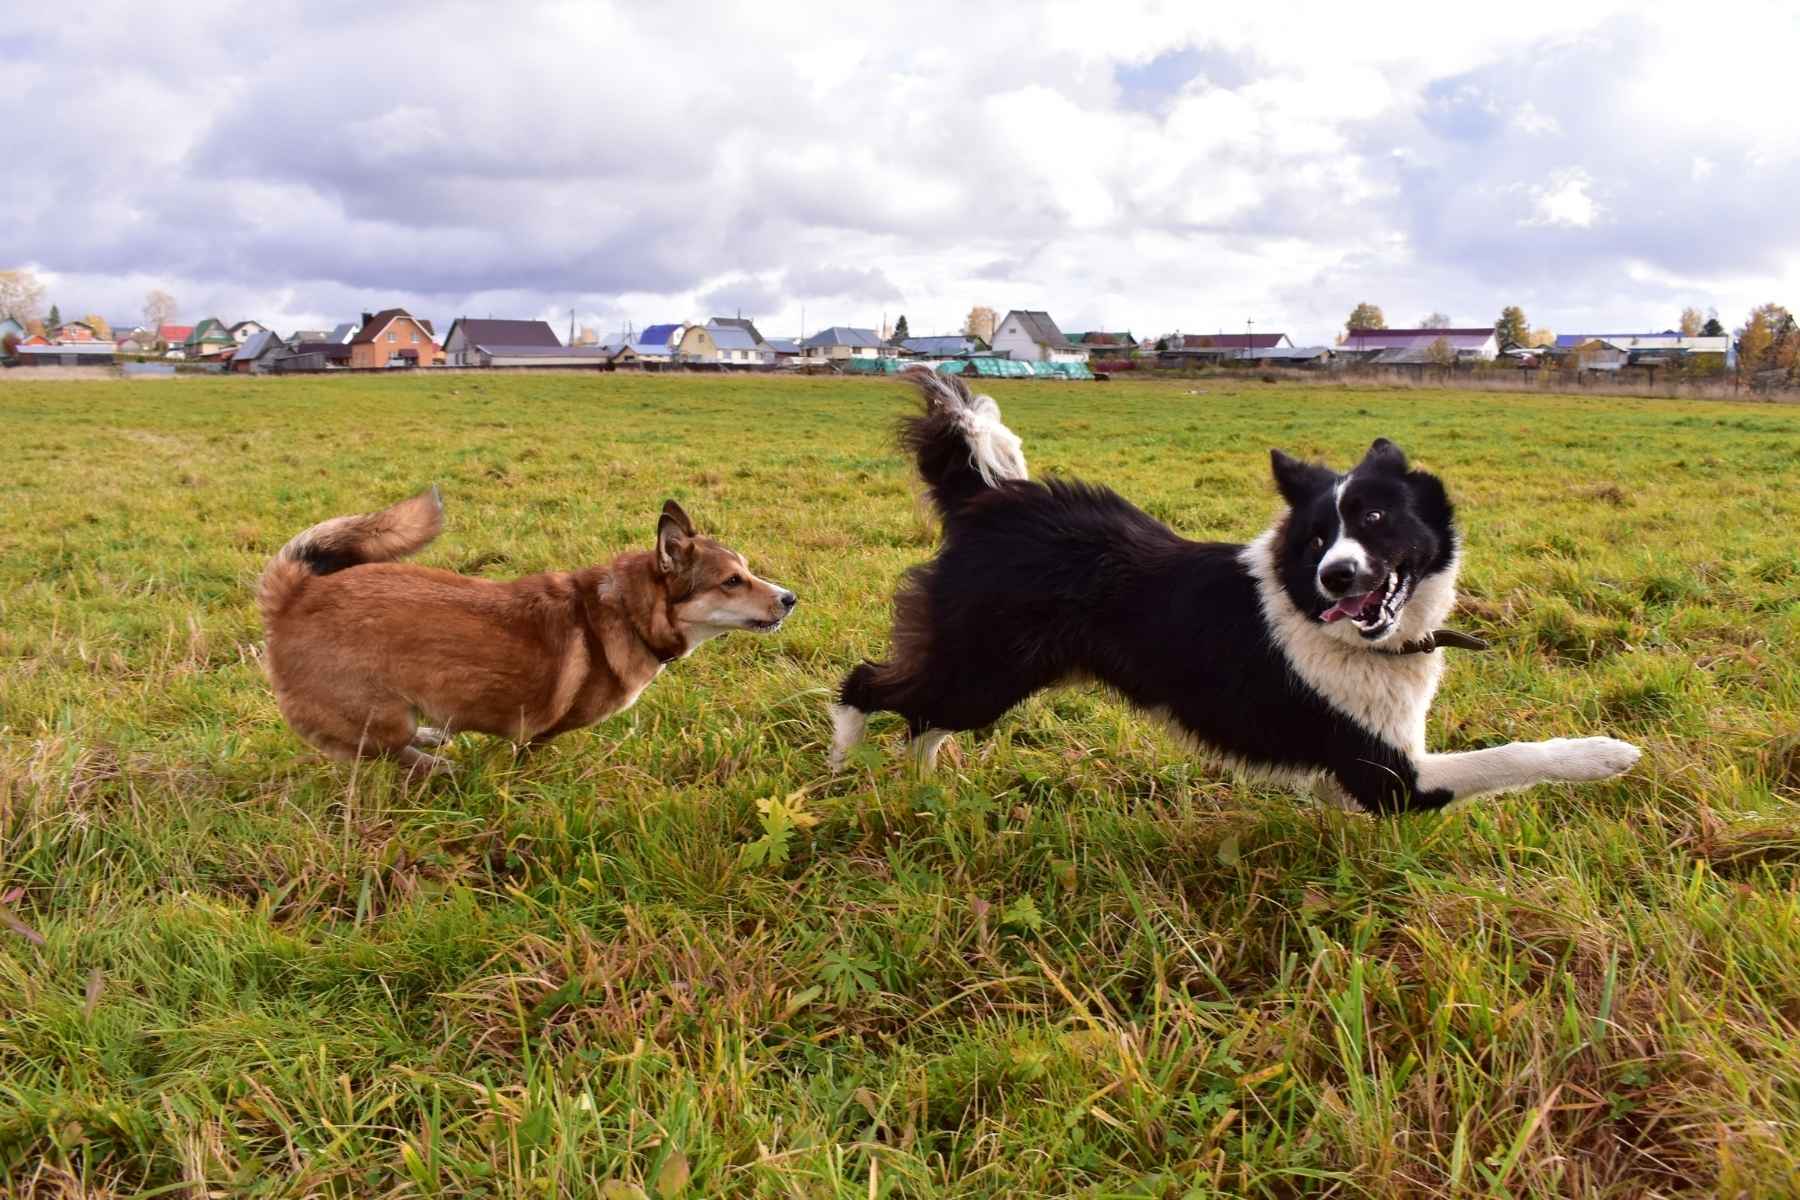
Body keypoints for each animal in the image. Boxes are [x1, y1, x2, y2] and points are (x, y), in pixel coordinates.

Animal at [261, 489, 795, 780]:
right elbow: (526, 755)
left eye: (747, 570)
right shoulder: (540, 733)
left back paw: (435, 740)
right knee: (379, 750)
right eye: (732, 581)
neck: (629, 613)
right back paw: (436, 765)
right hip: (382, 718)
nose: (791, 598)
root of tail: (292, 595)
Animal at [828, 370, 1648, 813]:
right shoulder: (1389, 779)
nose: (1337, 576)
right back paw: (840, 769)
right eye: (1316, 539)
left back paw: (926, 789)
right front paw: (1606, 754)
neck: (1324, 623)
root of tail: (989, 499)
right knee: (864, 684)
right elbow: (1513, 756)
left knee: (920, 718)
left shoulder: (1345, 777)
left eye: (1375, 519)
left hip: (991, 674)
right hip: (983, 669)